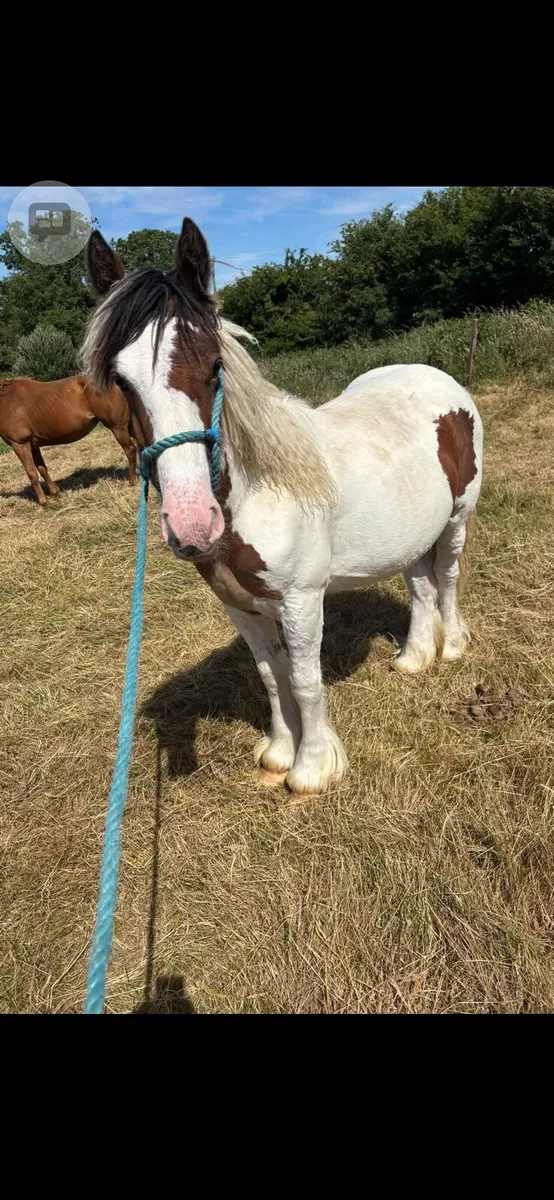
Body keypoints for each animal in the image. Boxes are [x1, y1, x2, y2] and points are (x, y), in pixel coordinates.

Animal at [0, 373, 137, 505]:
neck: (6, 401)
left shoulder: (20, 444)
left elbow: (31, 473)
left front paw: (42, 503)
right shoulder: (33, 445)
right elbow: (42, 469)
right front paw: (54, 493)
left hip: (118, 427)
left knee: (130, 450)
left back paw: (132, 483)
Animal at [81, 217, 483, 797]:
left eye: (215, 365)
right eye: (119, 379)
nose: (191, 525)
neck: (258, 496)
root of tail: (438, 377)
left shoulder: (301, 601)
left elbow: (304, 678)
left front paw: (313, 767)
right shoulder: (239, 606)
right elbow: (271, 676)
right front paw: (277, 752)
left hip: (455, 521)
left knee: (447, 578)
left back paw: (451, 648)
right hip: (410, 534)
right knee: (421, 586)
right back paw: (413, 658)